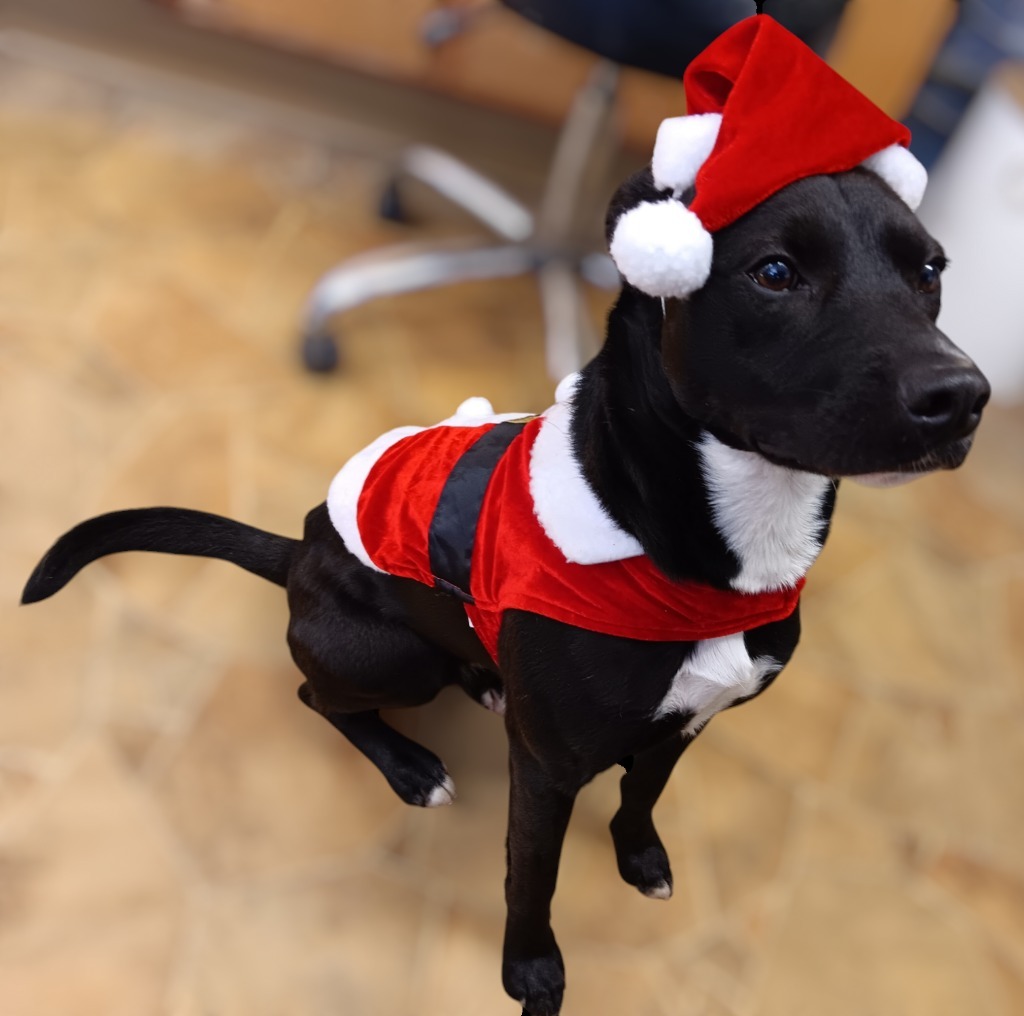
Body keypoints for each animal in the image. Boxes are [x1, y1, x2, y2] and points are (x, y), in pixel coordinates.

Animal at [24, 168, 991, 1016]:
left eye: (931, 271)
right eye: (775, 272)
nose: (964, 397)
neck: (702, 548)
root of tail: (299, 548)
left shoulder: (691, 719)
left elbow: (643, 794)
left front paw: (640, 856)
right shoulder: (549, 771)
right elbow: (533, 877)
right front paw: (530, 970)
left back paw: (484, 680)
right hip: (388, 652)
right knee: (317, 694)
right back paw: (411, 766)